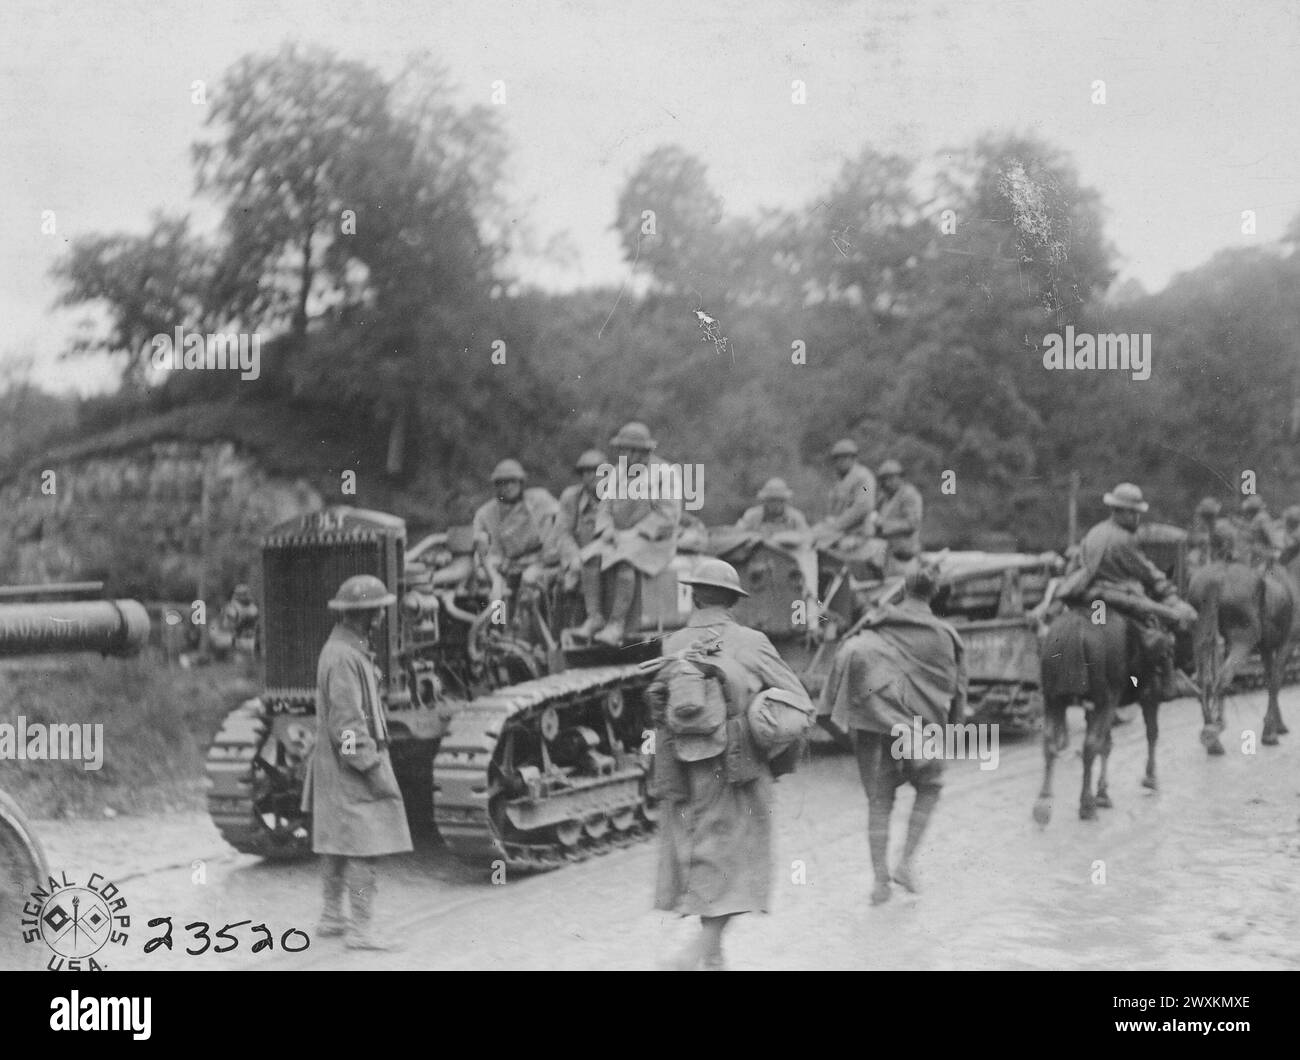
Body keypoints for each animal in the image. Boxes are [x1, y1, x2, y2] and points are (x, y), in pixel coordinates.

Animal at [1034, 606, 1170, 821]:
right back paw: (1086, 805)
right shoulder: (1146, 695)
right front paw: (1149, 778)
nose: (1168, 686)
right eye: (1166, 654)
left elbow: (1106, 745)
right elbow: (1150, 733)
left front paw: (1102, 793)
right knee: (1090, 745)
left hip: (1052, 698)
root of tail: (1074, 629)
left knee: (1050, 742)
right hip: (1103, 699)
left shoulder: (1095, 707)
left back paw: (1043, 802)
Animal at [1190, 559, 1289, 749]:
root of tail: (1216, 579)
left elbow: (1271, 680)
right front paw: (1271, 731)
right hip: (1245, 638)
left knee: (1204, 678)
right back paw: (1214, 732)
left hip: (1204, 628)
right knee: (1223, 677)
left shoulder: (1266, 647)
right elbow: (1275, 681)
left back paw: (1210, 728)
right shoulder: (1286, 643)